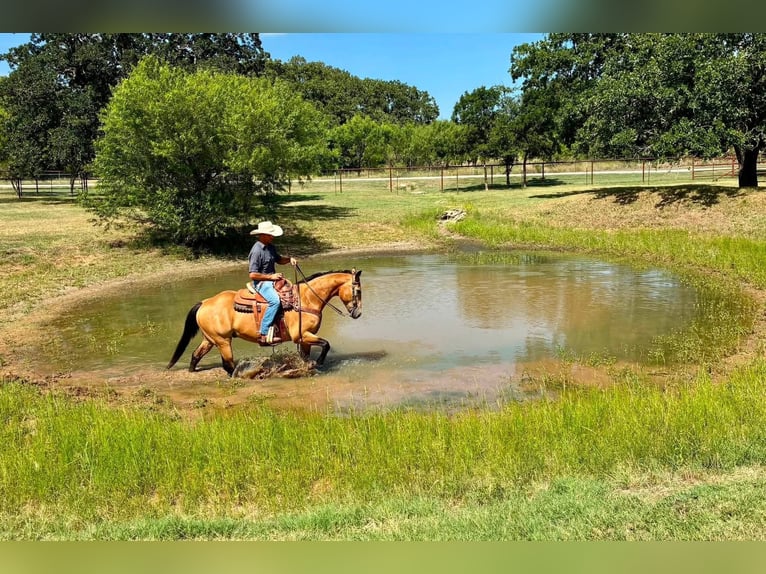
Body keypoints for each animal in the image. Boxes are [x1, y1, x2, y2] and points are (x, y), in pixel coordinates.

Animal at [167, 269, 362, 375]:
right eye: (358, 290)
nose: (358, 313)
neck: (306, 299)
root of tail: (205, 302)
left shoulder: (304, 339)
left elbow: (306, 356)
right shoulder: (302, 335)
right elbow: (326, 344)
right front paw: (319, 362)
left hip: (209, 339)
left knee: (195, 356)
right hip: (223, 341)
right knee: (228, 364)